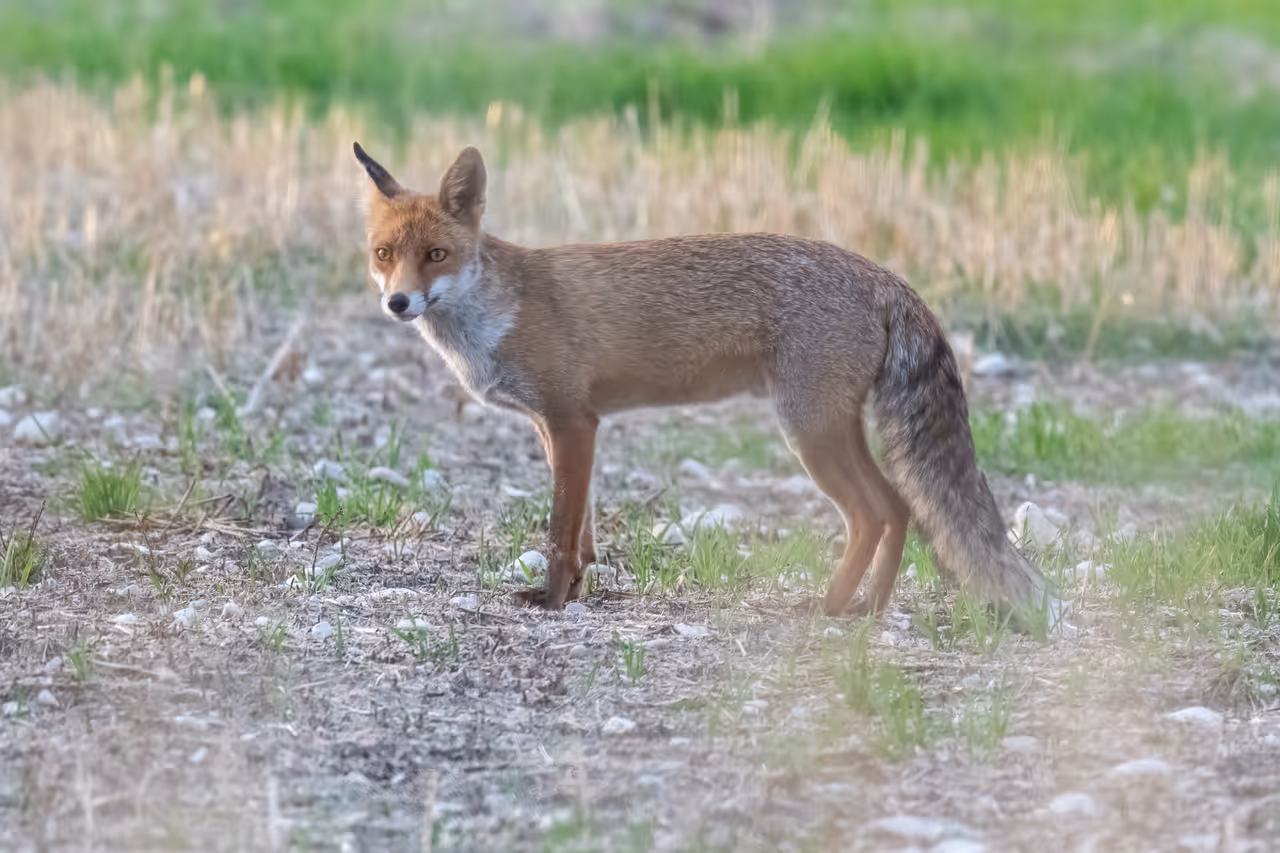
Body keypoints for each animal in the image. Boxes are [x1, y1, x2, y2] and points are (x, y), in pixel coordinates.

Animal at [352, 142, 1051, 623]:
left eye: (436, 255)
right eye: (384, 254)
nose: (399, 303)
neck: (498, 313)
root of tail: (882, 274)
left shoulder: (573, 421)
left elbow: (558, 531)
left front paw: (552, 603)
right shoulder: (559, 428)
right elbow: (583, 534)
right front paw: (574, 592)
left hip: (809, 432)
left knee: (874, 511)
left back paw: (832, 606)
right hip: (830, 429)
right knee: (901, 506)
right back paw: (870, 608)